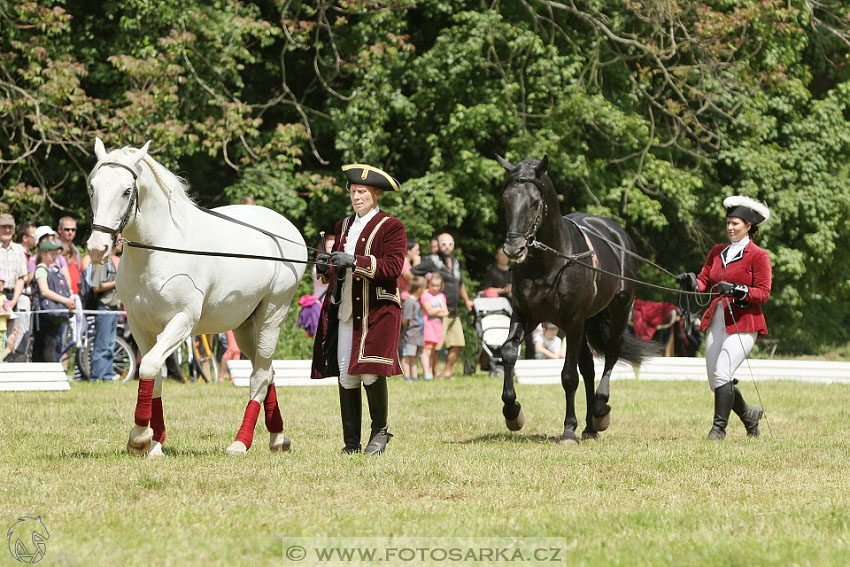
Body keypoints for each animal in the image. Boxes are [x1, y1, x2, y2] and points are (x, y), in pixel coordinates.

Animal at [85, 139, 304, 458]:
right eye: (93, 187)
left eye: (127, 191)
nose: (97, 248)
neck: (158, 249)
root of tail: (288, 230)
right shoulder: (140, 325)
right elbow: (155, 375)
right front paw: (154, 444)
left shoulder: (182, 322)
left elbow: (149, 366)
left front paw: (139, 437)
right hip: (244, 326)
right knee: (268, 371)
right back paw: (277, 438)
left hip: (272, 315)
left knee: (260, 376)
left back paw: (241, 442)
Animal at [496, 154, 644, 444]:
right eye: (506, 199)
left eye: (535, 201)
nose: (513, 249)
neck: (549, 262)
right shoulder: (527, 315)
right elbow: (508, 353)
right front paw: (512, 412)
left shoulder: (573, 321)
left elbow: (568, 376)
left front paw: (568, 430)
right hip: (588, 321)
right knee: (588, 367)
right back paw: (589, 427)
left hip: (619, 309)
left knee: (610, 354)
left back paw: (600, 411)